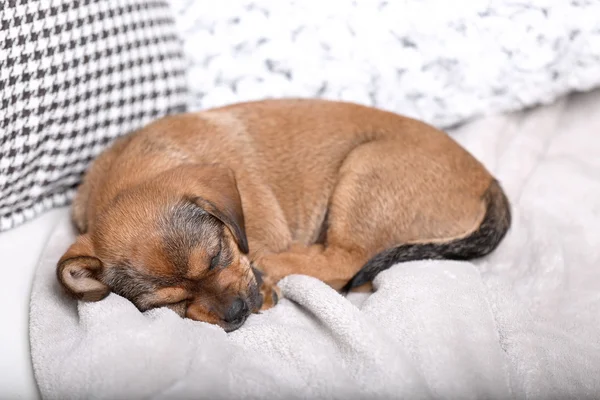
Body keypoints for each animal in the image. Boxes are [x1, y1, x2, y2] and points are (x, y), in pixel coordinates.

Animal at [55, 99, 510, 332]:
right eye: (173, 302)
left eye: (217, 256)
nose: (236, 313)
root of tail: (487, 180)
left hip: (365, 171)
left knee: (346, 260)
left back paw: (276, 267)